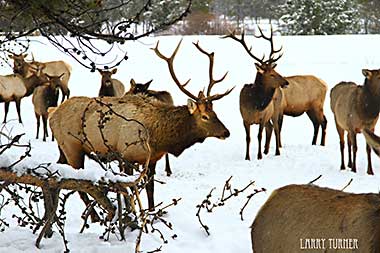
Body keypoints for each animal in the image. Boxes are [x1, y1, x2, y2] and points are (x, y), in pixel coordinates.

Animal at [49, 40, 233, 213]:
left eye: (215, 113)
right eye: (205, 116)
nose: (227, 132)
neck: (158, 138)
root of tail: (53, 114)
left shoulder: (152, 160)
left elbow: (150, 189)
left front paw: (151, 212)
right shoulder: (126, 156)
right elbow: (129, 190)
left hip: (64, 149)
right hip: (72, 146)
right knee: (78, 185)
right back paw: (93, 215)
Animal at [223, 27, 288, 160]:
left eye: (276, 70)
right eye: (272, 74)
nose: (286, 82)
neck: (256, 104)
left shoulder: (262, 117)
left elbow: (259, 136)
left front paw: (259, 156)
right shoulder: (244, 118)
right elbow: (248, 138)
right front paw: (247, 157)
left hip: (276, 111)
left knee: (276, 128)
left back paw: (276, 151)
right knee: (271, 128)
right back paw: (266, 150)